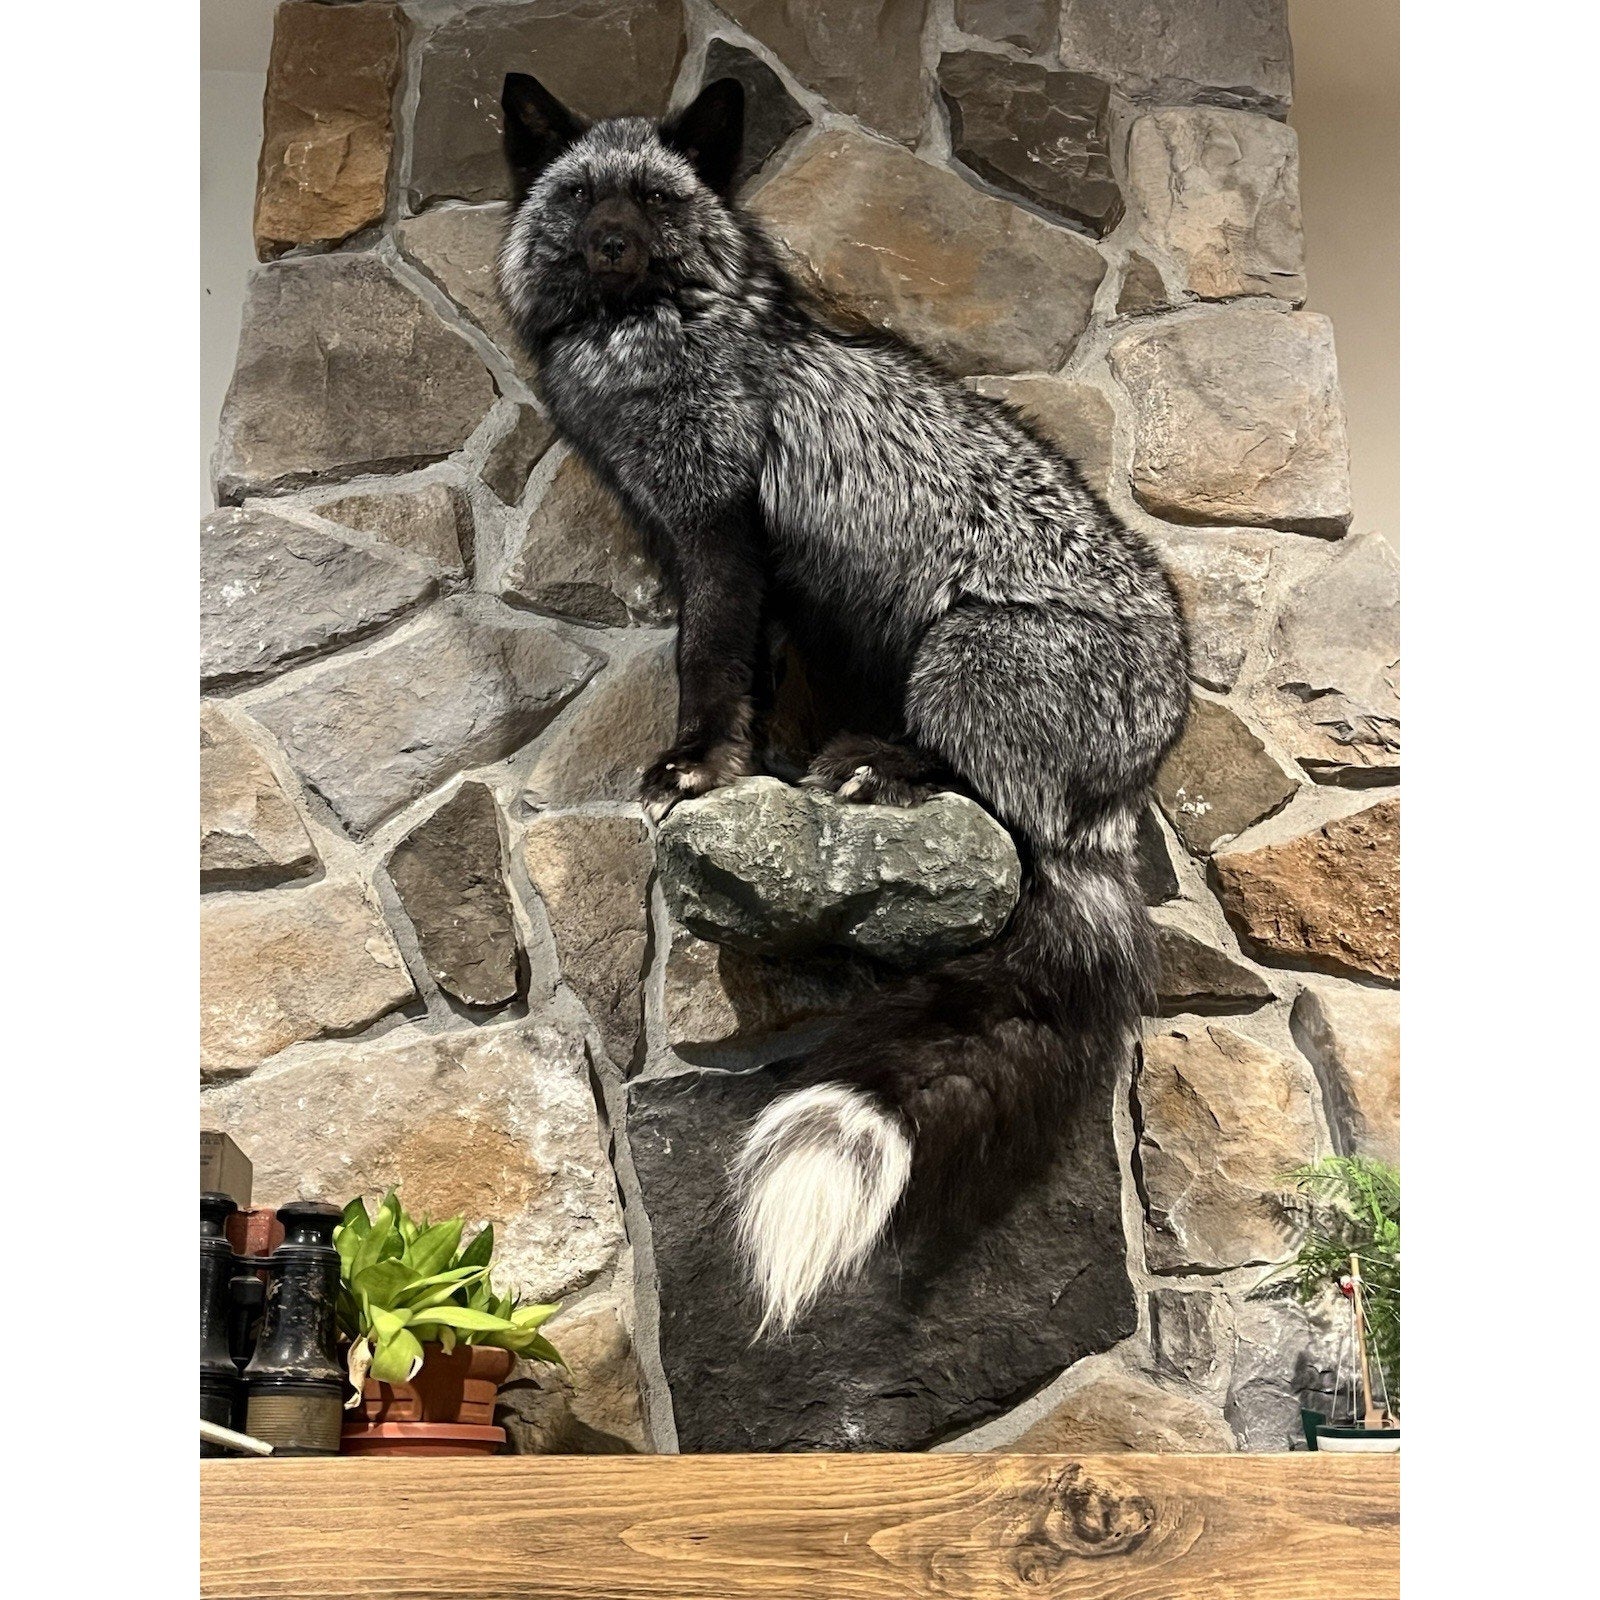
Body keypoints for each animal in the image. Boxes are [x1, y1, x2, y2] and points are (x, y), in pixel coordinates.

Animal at [497, 74, 1191, 1336]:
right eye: (580, 198)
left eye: (654, 203)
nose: (613, 245)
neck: (660, 339)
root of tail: (1126, 787)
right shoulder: (722, 556)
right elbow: (744, 678)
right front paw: (739, 758)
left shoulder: (722, 531)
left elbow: (708, 670)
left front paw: (700, 769)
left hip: (960, 657)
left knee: (993, 803)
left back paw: (880, 765)